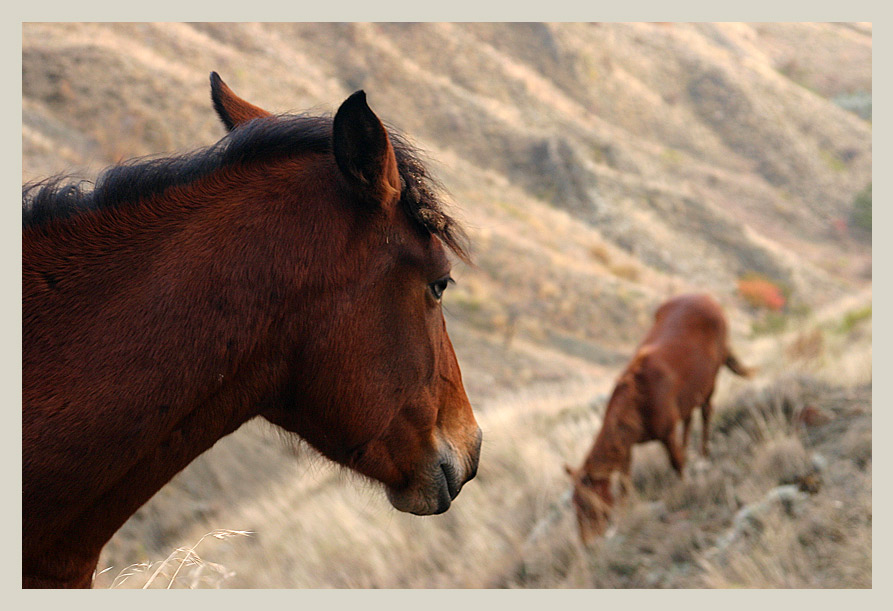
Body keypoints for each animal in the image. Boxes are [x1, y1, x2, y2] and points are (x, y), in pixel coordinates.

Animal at [568, 294, 748, 544]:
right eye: (575, 505)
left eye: (585, 505)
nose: (587, 544)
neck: (639, 399)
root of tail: (706, 298)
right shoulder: (627, 449)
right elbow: (624, 486)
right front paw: (622, 520)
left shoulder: (667, 434)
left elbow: (676, 462)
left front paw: (685, 486)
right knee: (689, 419)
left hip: (710, 382)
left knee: (706, 414)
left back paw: (704, 455)